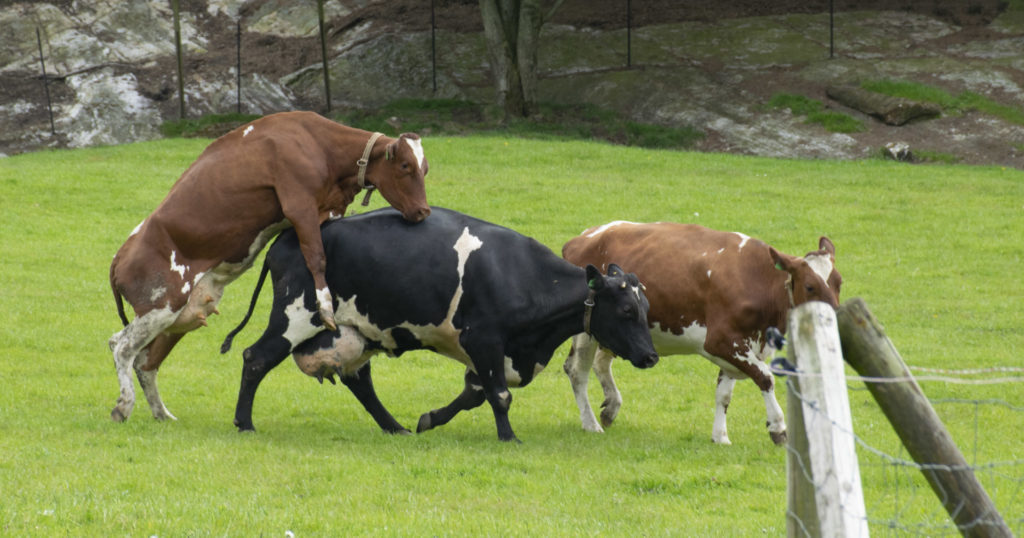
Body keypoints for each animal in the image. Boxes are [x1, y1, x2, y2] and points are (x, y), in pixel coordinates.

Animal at [109, 111, 432, 424]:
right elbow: (316, 255)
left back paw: (161, 413)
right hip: (161, 306)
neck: (318, 143)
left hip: (181, 315)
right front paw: (326, 306)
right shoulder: (299, 205)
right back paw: (124, 406)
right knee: (121, 345)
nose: (424, 211)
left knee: (145, 362)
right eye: (405, 165)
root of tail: (118, 259)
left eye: (425, 169)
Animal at [220, 205, 659, 440]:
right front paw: (508, 436)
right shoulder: (484, 339)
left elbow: (475, 394)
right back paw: (244, 423)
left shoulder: (489, 352)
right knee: (255, 358)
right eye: (626, 311)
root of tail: (287, 239)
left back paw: (395, 427)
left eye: (646, 308)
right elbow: (500, 395)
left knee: (360, 381)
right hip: (297, 316)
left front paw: (429, 420)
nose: (651, 356)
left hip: (356, 333)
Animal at [561, 221, 839, 444]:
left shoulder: (738, 348)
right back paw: (590, 423)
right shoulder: (721, 341)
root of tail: (584, 236)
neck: (758, 280)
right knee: (577, 370)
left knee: (600, 363)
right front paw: (778, 427)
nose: (834, 319)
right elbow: (765, 377)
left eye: (839, 282)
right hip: (587, 330)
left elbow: (724, 394)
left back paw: (611, 407)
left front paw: (720, 437)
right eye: (810, 286)